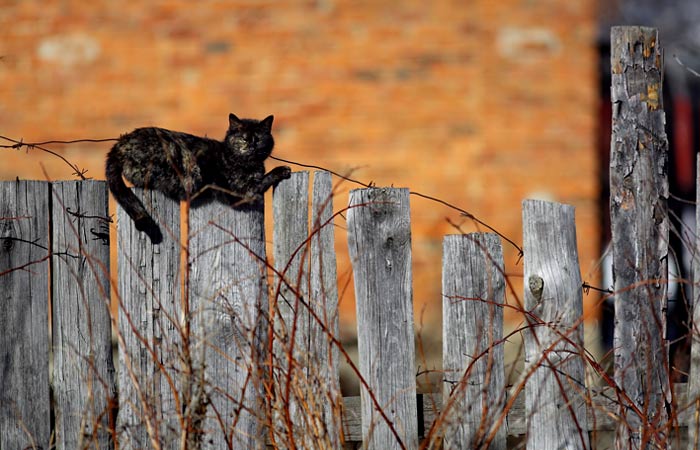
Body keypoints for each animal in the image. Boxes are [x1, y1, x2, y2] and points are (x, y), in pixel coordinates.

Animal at [106, 114, 290, 244]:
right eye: (243, 138)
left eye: (258, 139)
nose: (251, 146)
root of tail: (120, 143)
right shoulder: (242, 192)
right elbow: (264, 180)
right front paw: (282, 170)